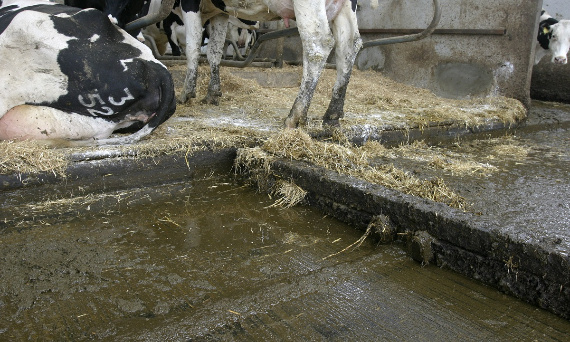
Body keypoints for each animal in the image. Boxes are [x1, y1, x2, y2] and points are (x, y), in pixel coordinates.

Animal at [175, 0, 360, 128]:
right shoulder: (220, 12)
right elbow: (214, 51)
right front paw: (212, 93)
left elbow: (193, 46)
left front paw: (186, 92)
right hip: (346, 8)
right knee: (350, 46)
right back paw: (333, 114)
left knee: (319, 44)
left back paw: (295, 116)